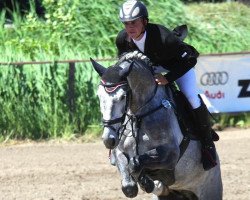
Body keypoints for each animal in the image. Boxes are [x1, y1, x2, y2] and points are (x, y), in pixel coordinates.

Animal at [91, 55, 224, 198]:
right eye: (99, 96)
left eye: (123, 96)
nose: (108, 140)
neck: (139, 116)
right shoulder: (119, 152)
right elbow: (129, 187)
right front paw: (145, 182)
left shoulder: (171, 154)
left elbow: (135, 163)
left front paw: (146, 181)